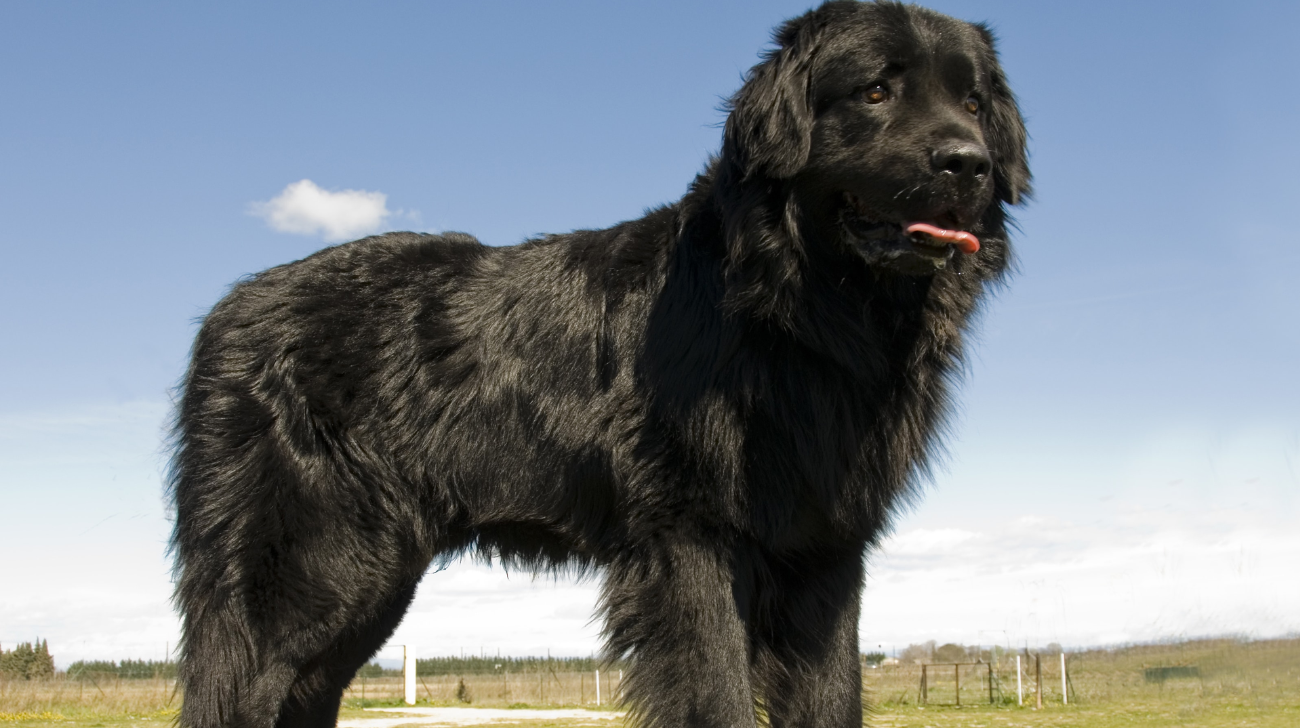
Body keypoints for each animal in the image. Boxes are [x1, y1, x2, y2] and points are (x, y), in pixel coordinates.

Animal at [167, 2, 1029, 722]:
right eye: (877, 91)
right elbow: (718, 691)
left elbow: (832, 698)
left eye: (974, 103)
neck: (797, 309)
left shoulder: (826, 548)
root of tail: (229, 310)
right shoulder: (692, 538)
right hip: (314, 569)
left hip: (370, 580)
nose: (968, 162)